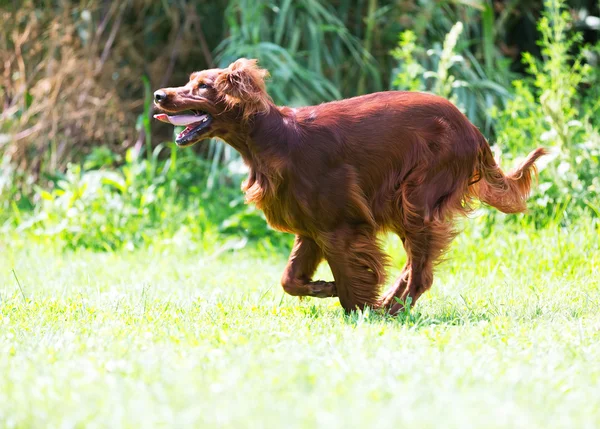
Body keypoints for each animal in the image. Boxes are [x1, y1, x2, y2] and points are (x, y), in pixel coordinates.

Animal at [152, 58, 548, 312]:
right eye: (189, 81)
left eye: (203, 86)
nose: (158, 95)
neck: (275, 140)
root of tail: (472, 129)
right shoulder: (310, 229)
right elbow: (289, 279)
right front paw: (323, 288)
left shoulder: (340, 226)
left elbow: (349, 276)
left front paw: (358, 308)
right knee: (416, 266)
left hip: (414, 201)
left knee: (421, 272)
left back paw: (392, 307)